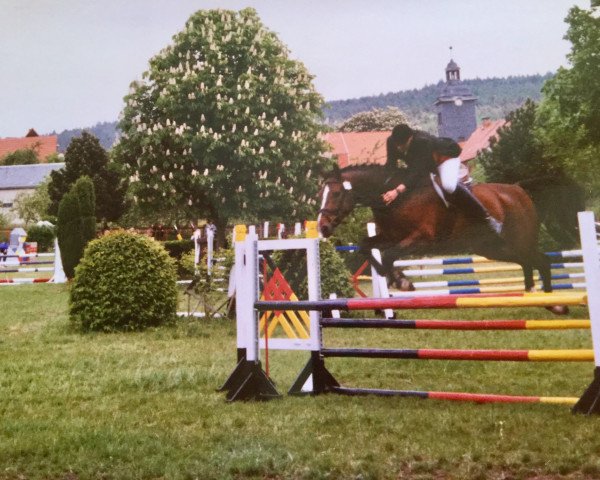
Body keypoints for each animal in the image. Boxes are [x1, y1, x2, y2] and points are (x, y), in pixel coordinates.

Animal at [316, 165, 576, 300]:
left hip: (519, 242)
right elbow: (366, 247)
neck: (397, 199)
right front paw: (397, 280)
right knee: (528, 263)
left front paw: (402, 282)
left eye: (336, 194)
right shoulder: (389, 236)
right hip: (496, 248)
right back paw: (534, 295)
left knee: (541, 262)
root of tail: (519, 189)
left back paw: (553, 302)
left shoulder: (422, 239)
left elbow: (388, 256)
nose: (322, 227)